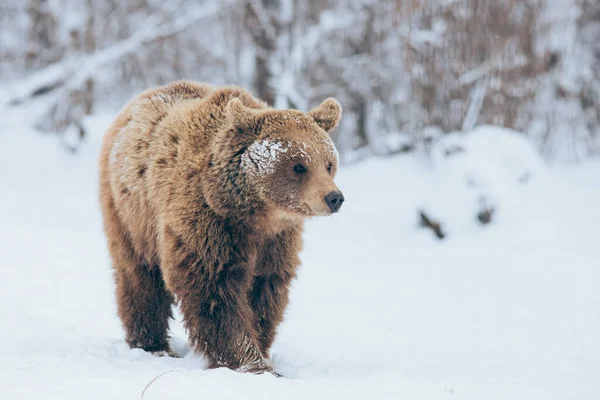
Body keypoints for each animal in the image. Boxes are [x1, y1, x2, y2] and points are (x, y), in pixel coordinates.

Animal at [97, 80, 342, 376]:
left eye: (329, 164)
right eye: (299, 166)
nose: (334, 198)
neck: (253, 213)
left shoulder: (276, 242)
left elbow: (265, 291)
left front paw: (261, 348)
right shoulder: (207, 224)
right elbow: (213, 290)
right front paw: (251, 362)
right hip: (130, 215)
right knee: (140, 278)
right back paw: (152, 344)